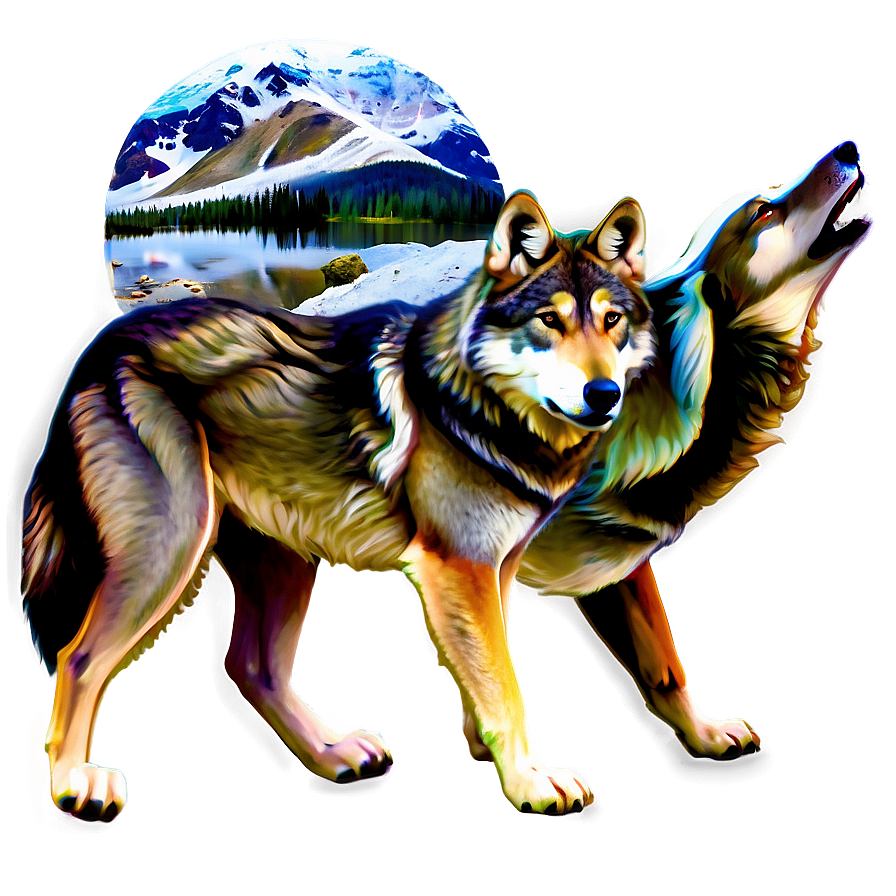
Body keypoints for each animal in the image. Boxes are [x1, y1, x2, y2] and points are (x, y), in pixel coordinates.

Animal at [21, 191, 654, 821]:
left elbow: (491, 672)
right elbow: (506, 686)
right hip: (172, 549)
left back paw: (333, 754)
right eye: (550, 320)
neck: (483, 404)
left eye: (611, 321)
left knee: (250, 667)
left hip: (285, 568)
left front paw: (488, 751)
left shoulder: (498, 569)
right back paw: (75, 784)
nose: (605, 395)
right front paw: (530, 781)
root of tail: (101, 344)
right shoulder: (459, 566)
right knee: (78, 658)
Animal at [515, 141, 873, 763]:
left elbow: (660, 658)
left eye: (770, 194)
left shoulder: (614, 554)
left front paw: (702, 732)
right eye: (762, 212)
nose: (848, 148)